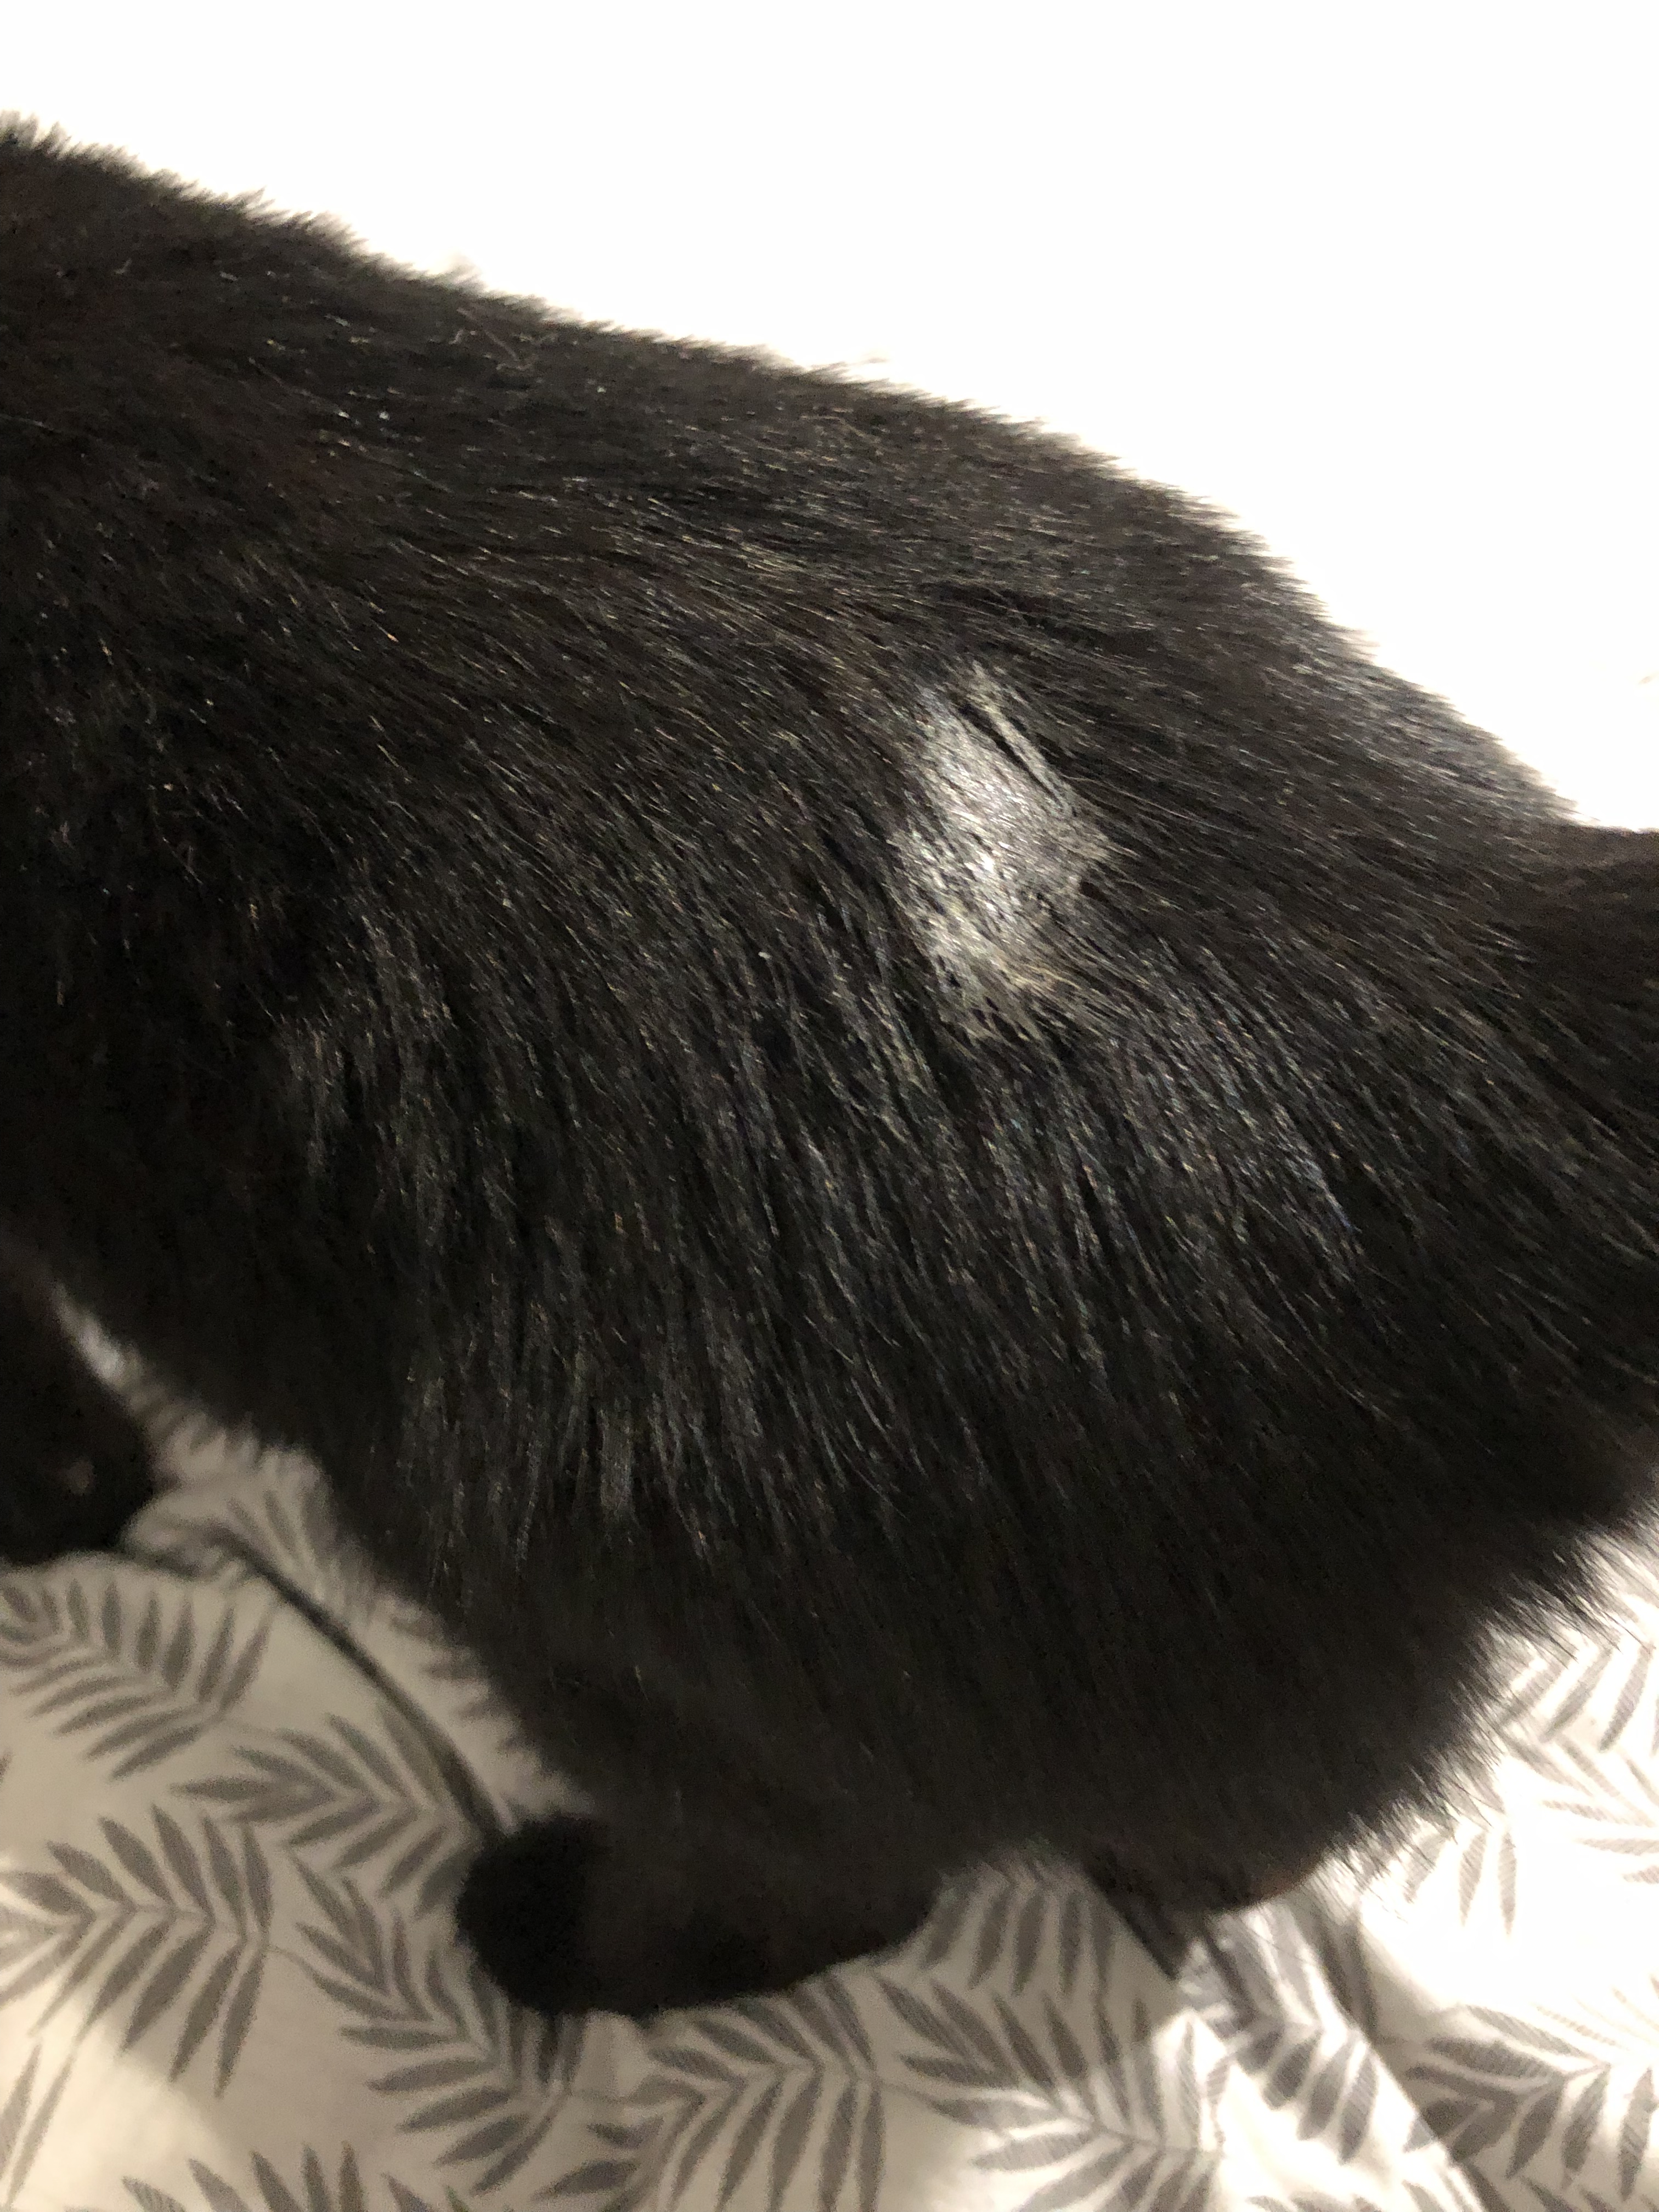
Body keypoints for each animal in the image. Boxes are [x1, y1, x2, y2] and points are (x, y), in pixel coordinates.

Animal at [2, 118, 1655, 2018]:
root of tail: (1461, 981)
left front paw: (58, 1502)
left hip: (572, 1574)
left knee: (842, 1874)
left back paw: (555, 1937)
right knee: (1279, 1813)